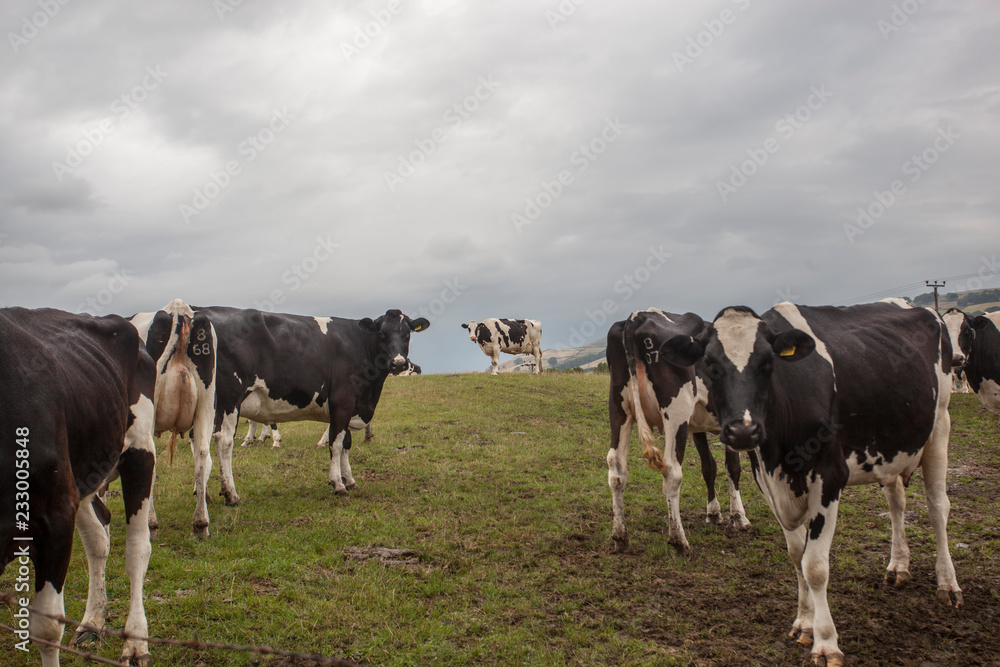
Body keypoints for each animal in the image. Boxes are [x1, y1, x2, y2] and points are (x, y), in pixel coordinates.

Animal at [0, 310, 156, 667]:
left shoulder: (54, 514)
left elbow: (46, 629)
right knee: (99, 538)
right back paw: (92, 622)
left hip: (139, 449)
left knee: (137, 548)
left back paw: (135, 640)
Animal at [195, 306, 430, 498]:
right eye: (382, 333)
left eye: (407, 334)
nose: (398, 363)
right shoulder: (342, 401)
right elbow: (336, 444)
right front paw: (338, 484)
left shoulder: (349, 407)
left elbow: (346, 443)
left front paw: (350, 480)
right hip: (230, 399)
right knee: (223, 441)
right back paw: (230, 493)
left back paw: (204, 493)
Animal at [600, 310, 752, 556]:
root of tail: (638, 316)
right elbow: (733, 467)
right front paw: (739, 517)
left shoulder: (697, 426)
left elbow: (709, 467)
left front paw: (714, 513)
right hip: (676, 412)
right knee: (672, 471)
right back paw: (678, 539)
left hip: (619, 409)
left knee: (617, 469)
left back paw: (621, 536)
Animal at [656, 304, 960, 667]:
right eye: (710, 364)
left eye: (768, 363)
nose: (743, 431)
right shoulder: (768, 481)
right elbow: (795, 555)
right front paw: (804, 622)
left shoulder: (829, 478)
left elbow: (814, 565)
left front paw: (826, 642)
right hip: (891, 449)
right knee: (896, 502)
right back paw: (898, 566)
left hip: (940, 426)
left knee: (938, 507)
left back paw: (948, 584)